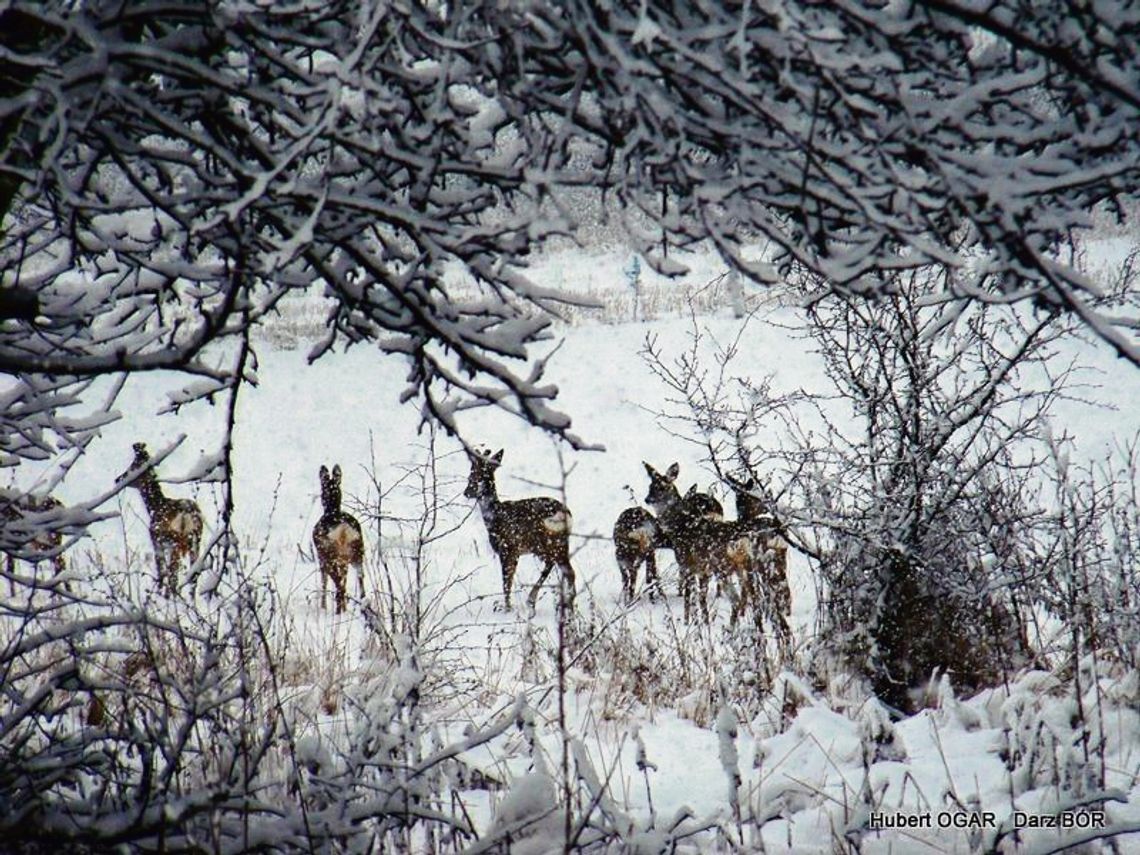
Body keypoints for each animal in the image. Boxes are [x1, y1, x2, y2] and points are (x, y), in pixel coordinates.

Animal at [117, 442, 205, 597]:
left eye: (132, 467)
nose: (118, 479)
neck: (155, 506)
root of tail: (188, 512)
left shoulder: (156, 538)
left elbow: (161, 569)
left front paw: (158, 592)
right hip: (195, 540)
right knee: (193, 575)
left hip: (176, 540)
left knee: (173, 575)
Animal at [312, 465, 364, 611]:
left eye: (322, 489)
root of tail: (343, 529)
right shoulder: (343, 561)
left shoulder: (321, 557)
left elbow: (324, 581)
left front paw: (323, 606)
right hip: (357, 551)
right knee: (359, 579)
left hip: (330, 554)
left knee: (338, 584)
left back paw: (338, 610)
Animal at [462, 451, 574, 611]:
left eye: (474, 476)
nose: (466, 492)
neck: (495, 515)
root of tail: (565, 514)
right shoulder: (515, 552)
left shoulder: (508, 549)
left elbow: (506, 583)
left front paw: (507, 608)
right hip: (558, 543)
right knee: (564, 569)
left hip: (546, 543)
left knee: (562, 569)